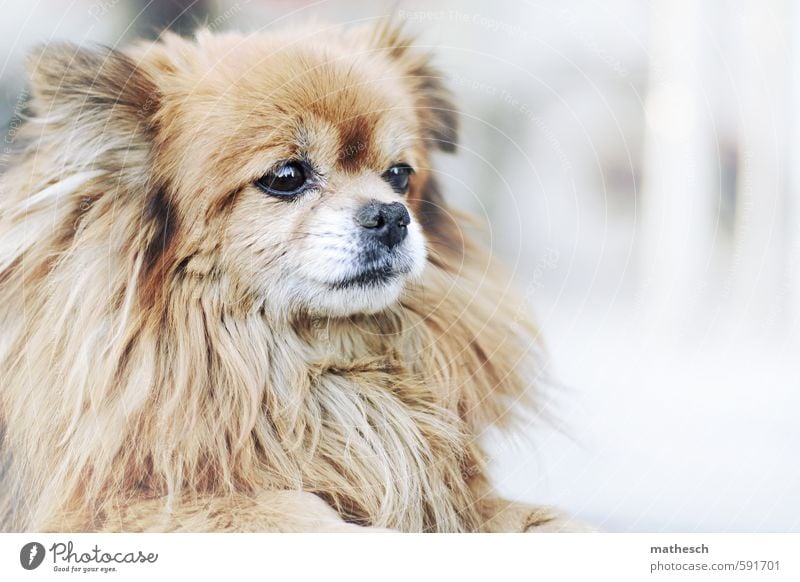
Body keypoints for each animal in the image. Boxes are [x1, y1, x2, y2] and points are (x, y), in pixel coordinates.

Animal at [0, 21, 576, 532]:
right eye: (286, 177)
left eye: (399, 175)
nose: (392, 216)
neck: (308, 360)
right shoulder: (114, 506)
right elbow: (296, 512)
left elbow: (544, 521)